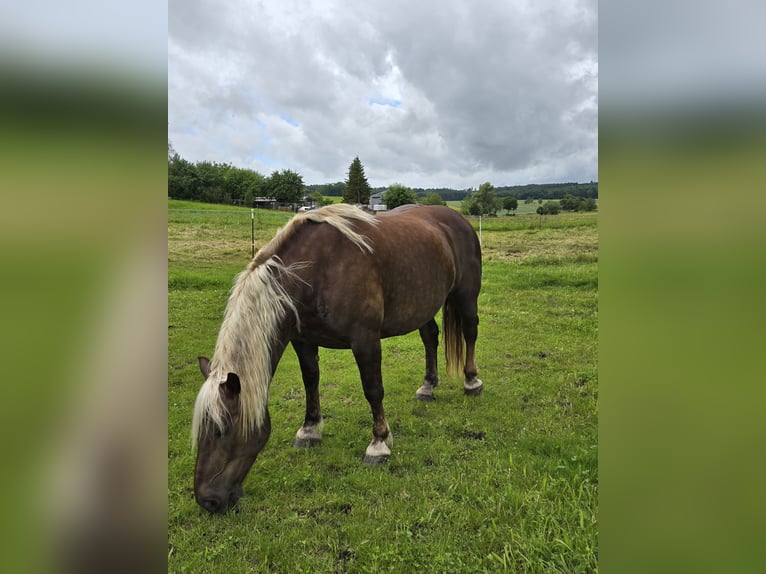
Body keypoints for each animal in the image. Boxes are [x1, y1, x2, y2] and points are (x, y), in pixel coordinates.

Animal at [191, 205, 480, 516]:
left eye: (221, 430)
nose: (207, 500)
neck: (315, 270)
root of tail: (456, 218)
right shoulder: (303, 340)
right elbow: (310, 381)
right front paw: (309, 430)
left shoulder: (365, 340)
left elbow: (373, 390)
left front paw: (379, 443)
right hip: (422, 304)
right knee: (430, 337)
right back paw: (428, 387)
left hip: (466, 295)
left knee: (470, 332)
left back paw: (472, 382)